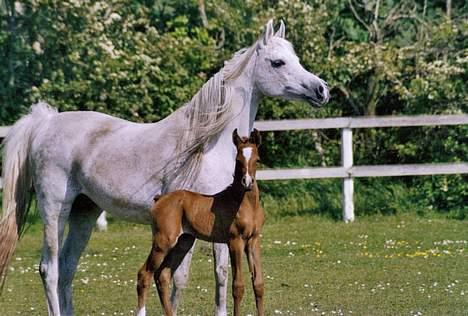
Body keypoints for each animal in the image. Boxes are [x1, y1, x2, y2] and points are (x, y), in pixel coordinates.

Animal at [137, 129, 266, 316]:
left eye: (257, 159)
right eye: (238, 160)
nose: (247, 182)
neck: (245, 203)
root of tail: (159, 199)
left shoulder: (253, 240)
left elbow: (258, 284)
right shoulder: (235, 241)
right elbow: (238, 286)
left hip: (182, 243)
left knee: (162, 275)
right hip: (163, 242)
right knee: (144, 274)